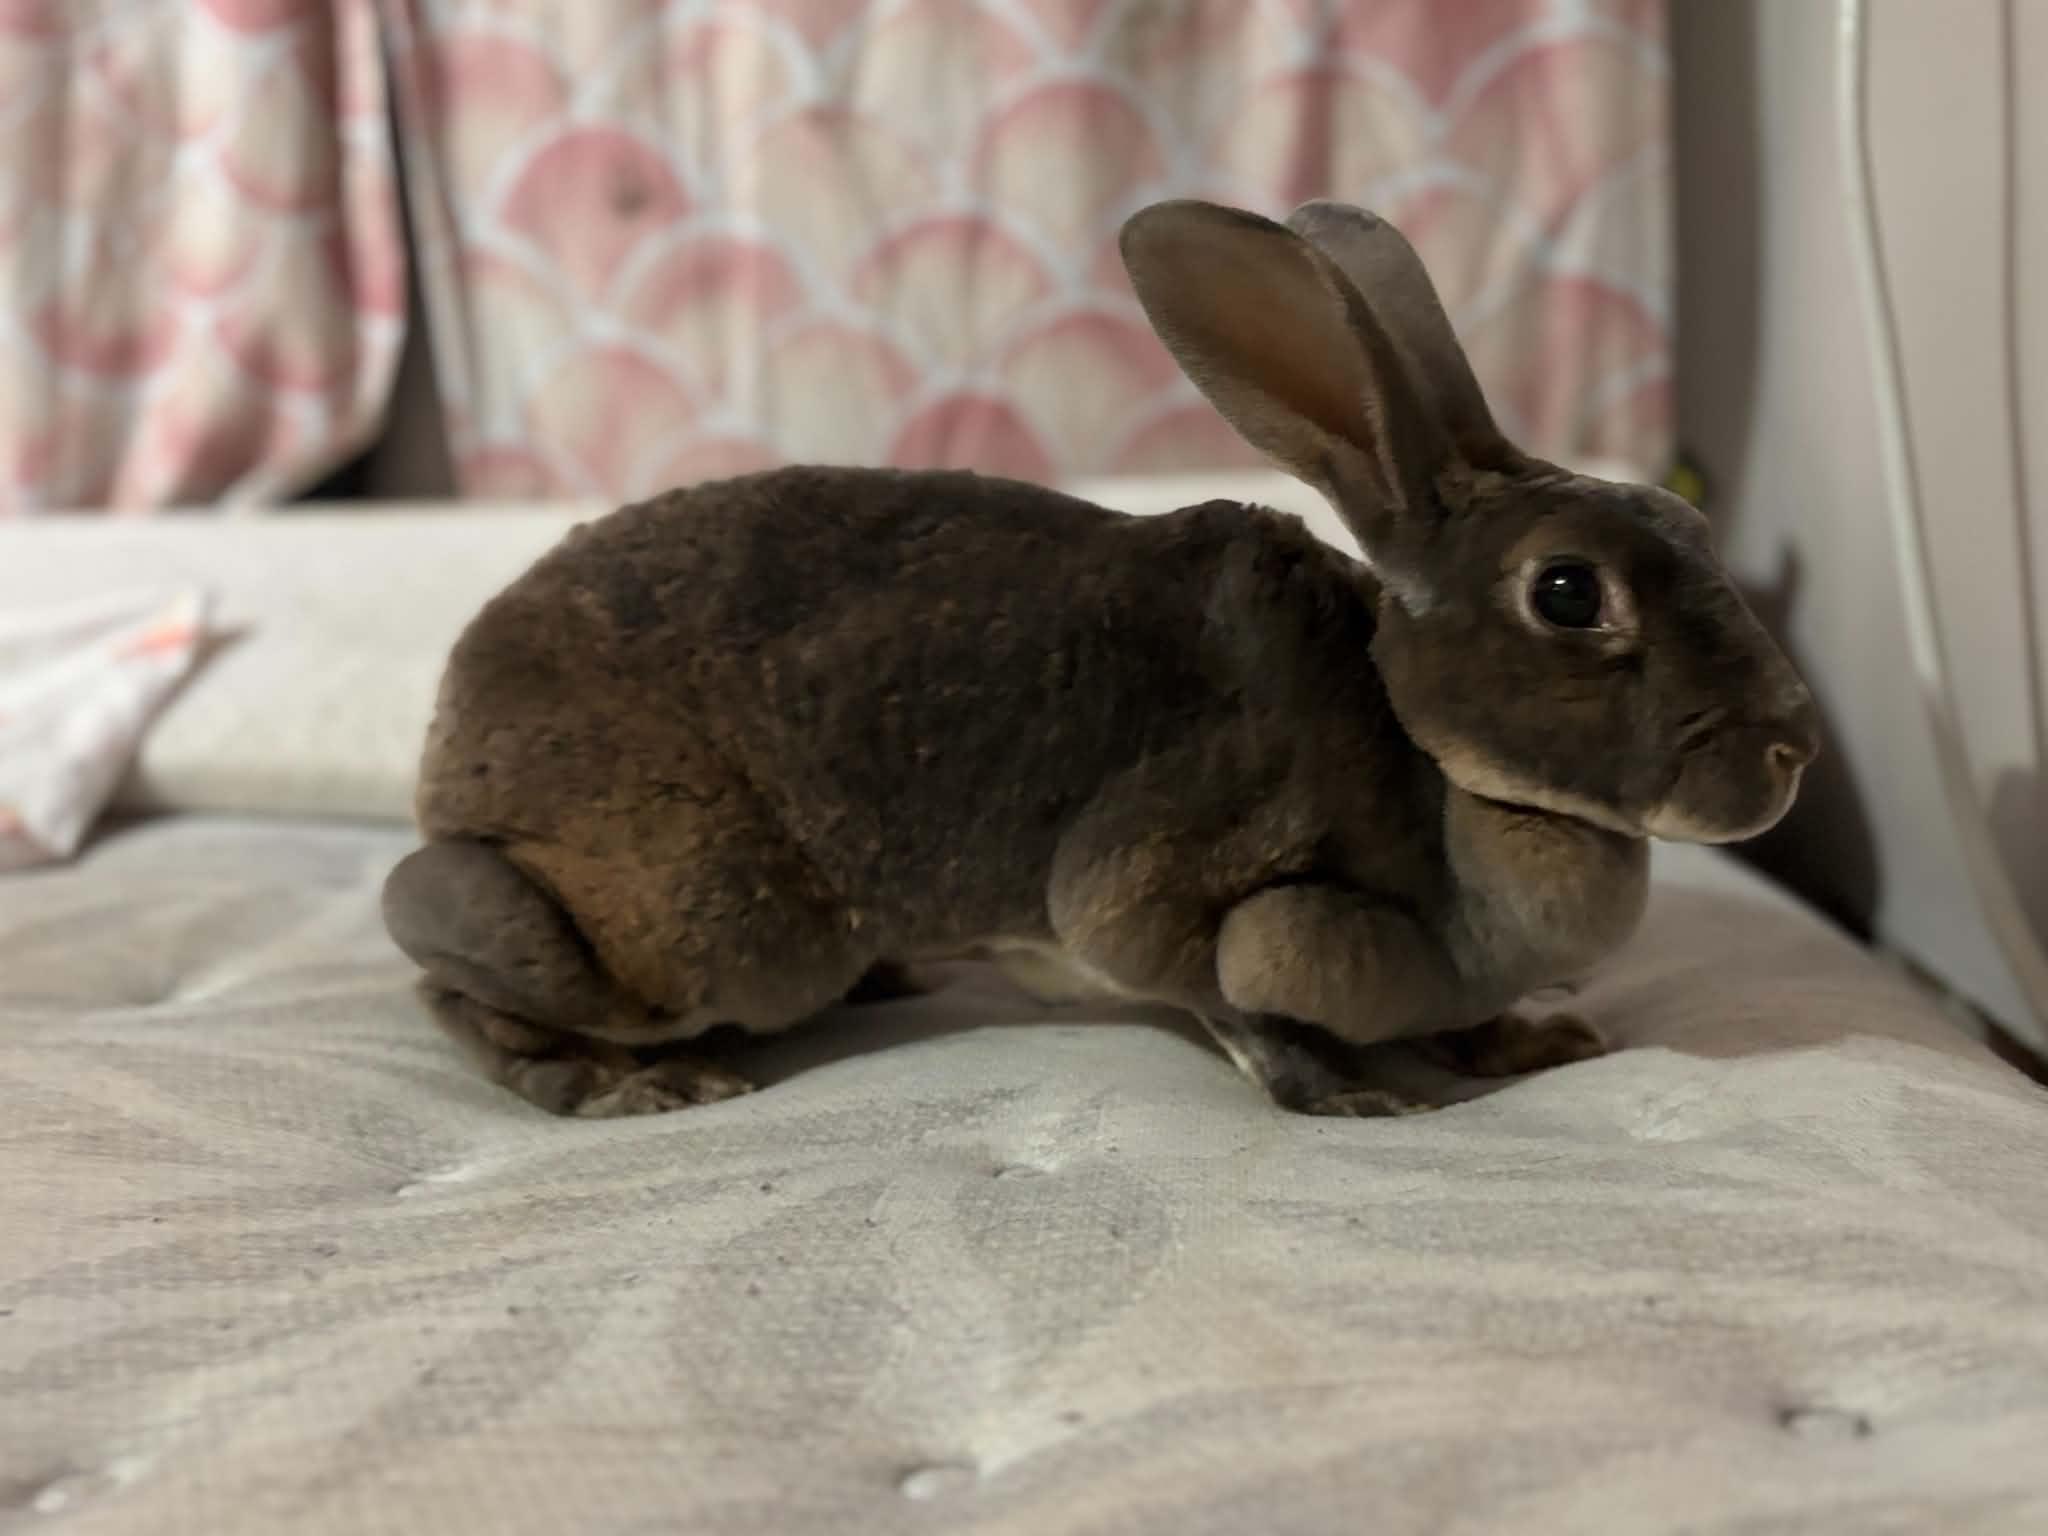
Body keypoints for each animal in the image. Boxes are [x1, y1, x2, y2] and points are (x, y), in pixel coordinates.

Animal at [381, 197, 1819, 1119]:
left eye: (1689, 523)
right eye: (1568, 592)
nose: (1789, 745)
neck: (1432, 769)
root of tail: (450, 743)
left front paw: (1532, 1039)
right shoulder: (1166, 883)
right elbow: (1217, 985)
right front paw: (1354, 1098)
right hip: (709, 926)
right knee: (442, 954)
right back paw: (624, 1082)